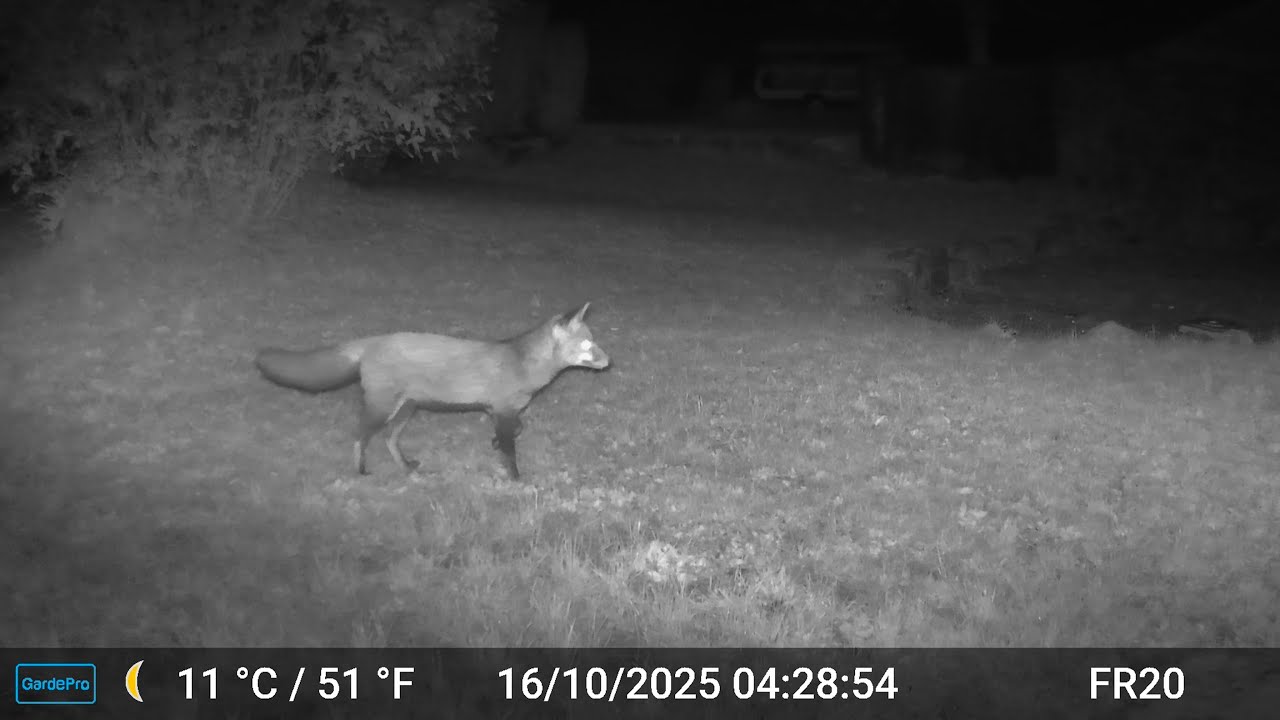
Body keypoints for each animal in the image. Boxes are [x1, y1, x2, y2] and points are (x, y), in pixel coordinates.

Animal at [253, 302, 610, 480]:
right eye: (587, 345)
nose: (609, 361)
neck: (522, 365)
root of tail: (374, 341)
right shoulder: (502, 410)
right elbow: (511, 452)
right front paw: (516, 479)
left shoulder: (499, 411)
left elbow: (515, 431)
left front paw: (494, 444)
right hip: (383, 408)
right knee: (360, 437)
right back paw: (360, 470)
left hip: (407, 409)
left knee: (389, 440)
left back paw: (406, 468)